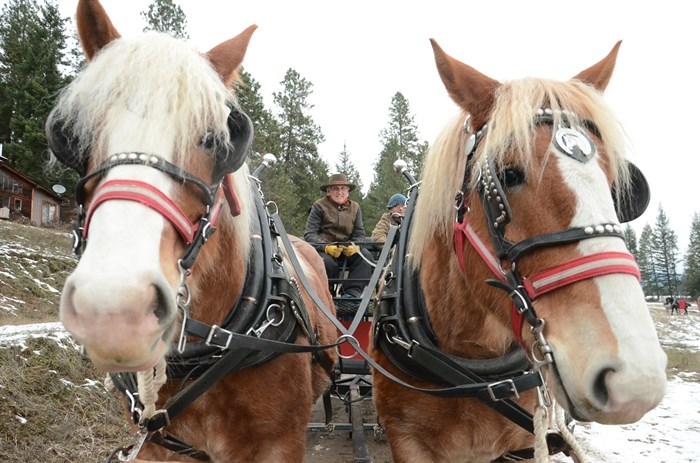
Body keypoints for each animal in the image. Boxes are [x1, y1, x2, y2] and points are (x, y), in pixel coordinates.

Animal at [372, 40, 668, 463]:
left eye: (617, 187)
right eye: (508, 174)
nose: (635, 379)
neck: (475, 362)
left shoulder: (522, 446)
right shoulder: (407, 441)